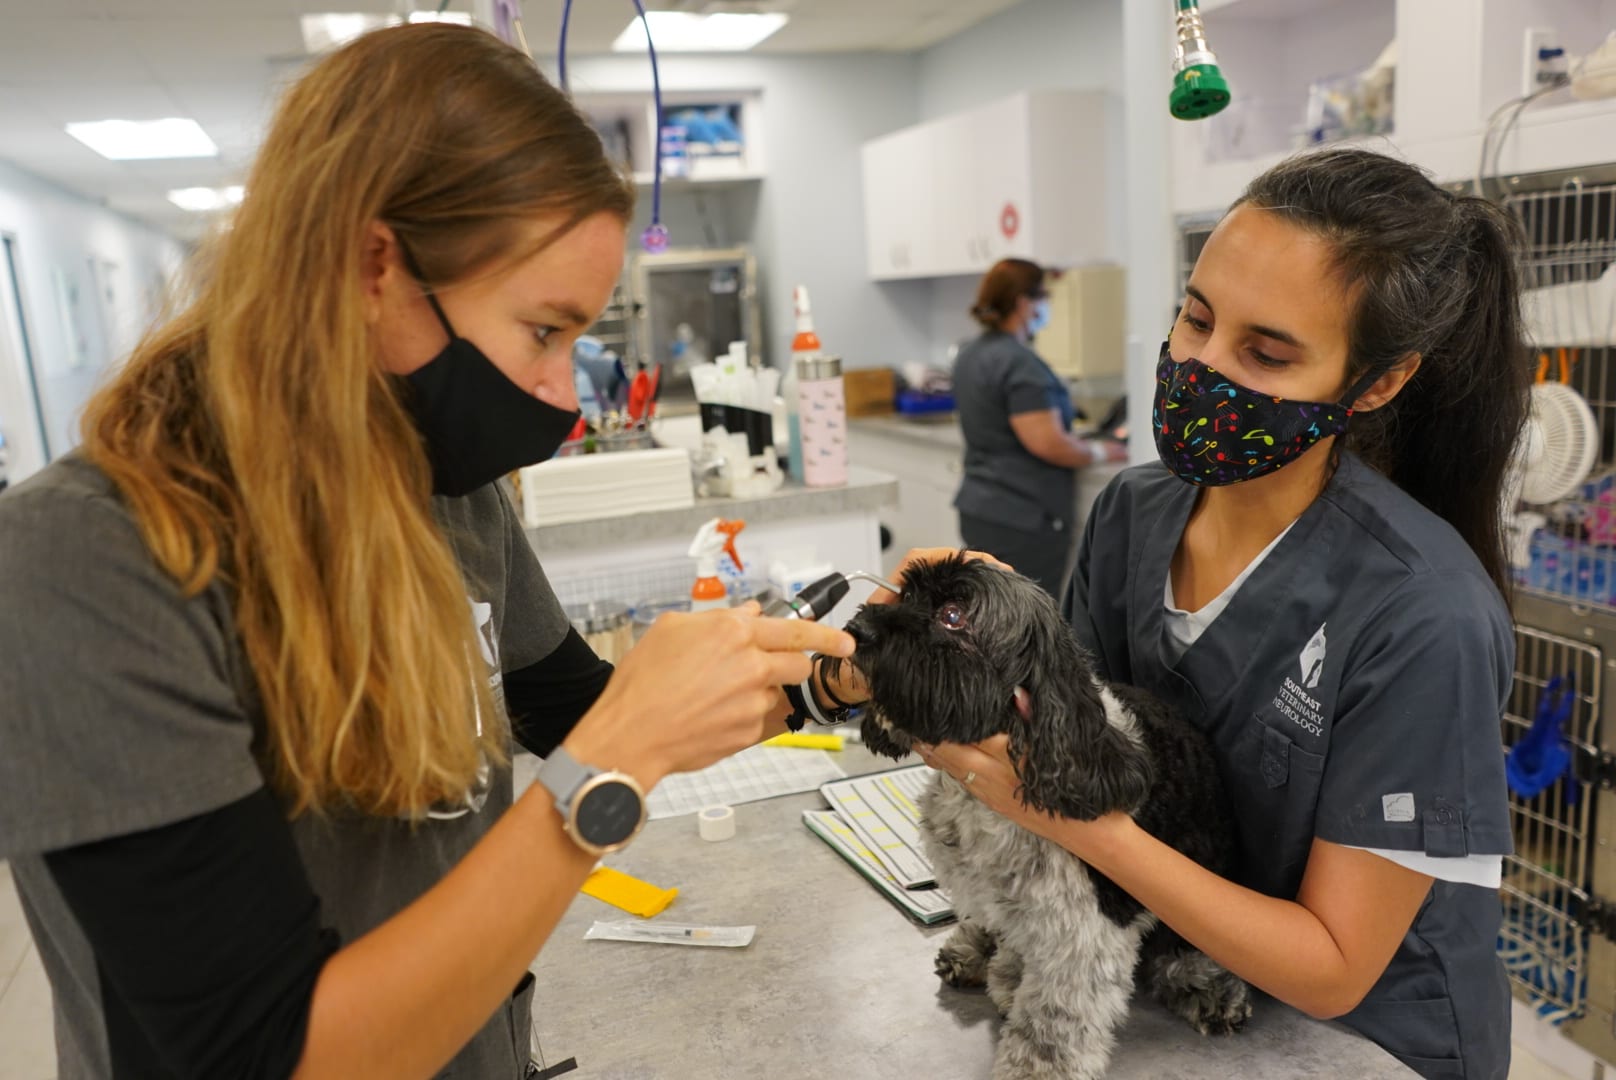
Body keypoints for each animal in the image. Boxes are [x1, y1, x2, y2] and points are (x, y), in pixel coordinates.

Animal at [833, 556, 1247, 1080]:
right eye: (906, 595)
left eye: (953, 616)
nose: (857, 629)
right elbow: (1015, 942)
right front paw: (1006, 973)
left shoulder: (1083, 932)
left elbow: (1055, 1019)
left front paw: (1034, 1066)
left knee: (1180, 951)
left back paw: (1206, 985)